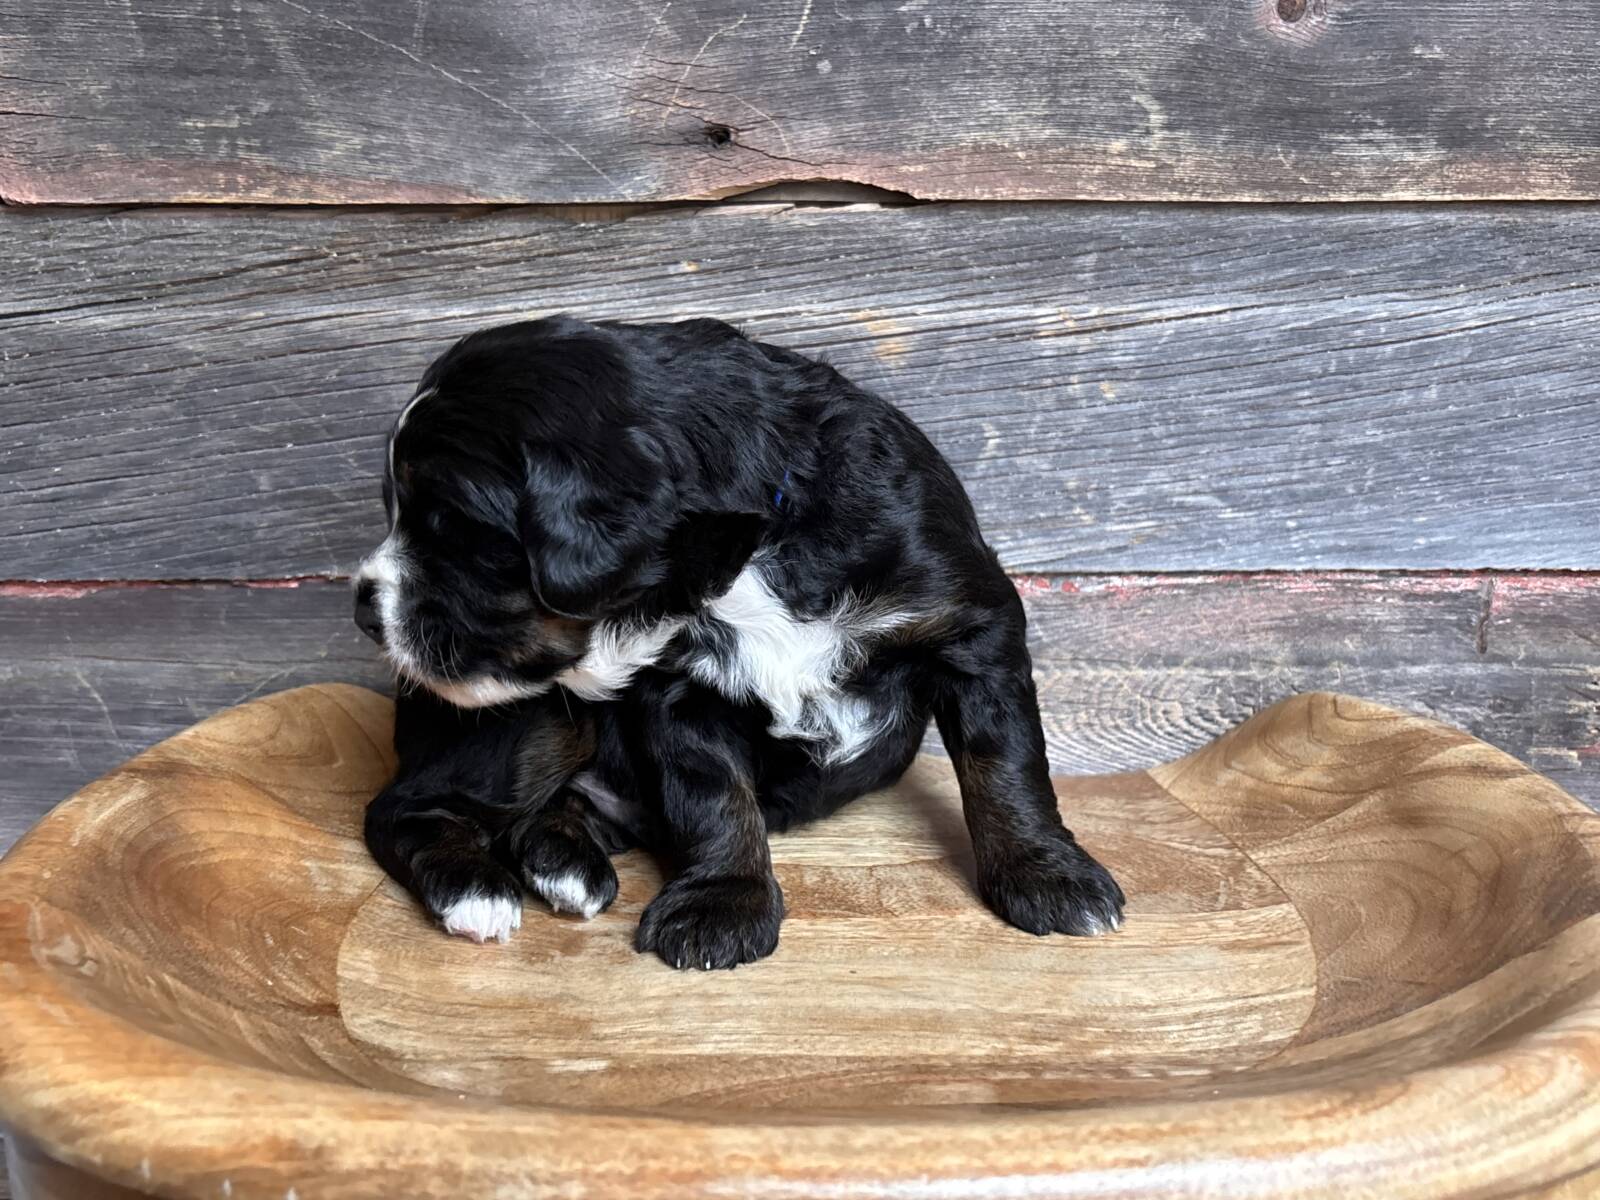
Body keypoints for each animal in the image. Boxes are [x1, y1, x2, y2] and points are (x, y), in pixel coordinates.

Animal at [355, 316, 1124, 968]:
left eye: (450, 526)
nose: (364, 607)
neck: (753, 548)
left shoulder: (971, 623)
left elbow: (1005, 763)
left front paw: (1048, 876)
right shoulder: (683, 688)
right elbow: (715, 796)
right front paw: (721, 908)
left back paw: (566, 866)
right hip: (526, 721)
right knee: (399, 809)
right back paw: (477, 891)